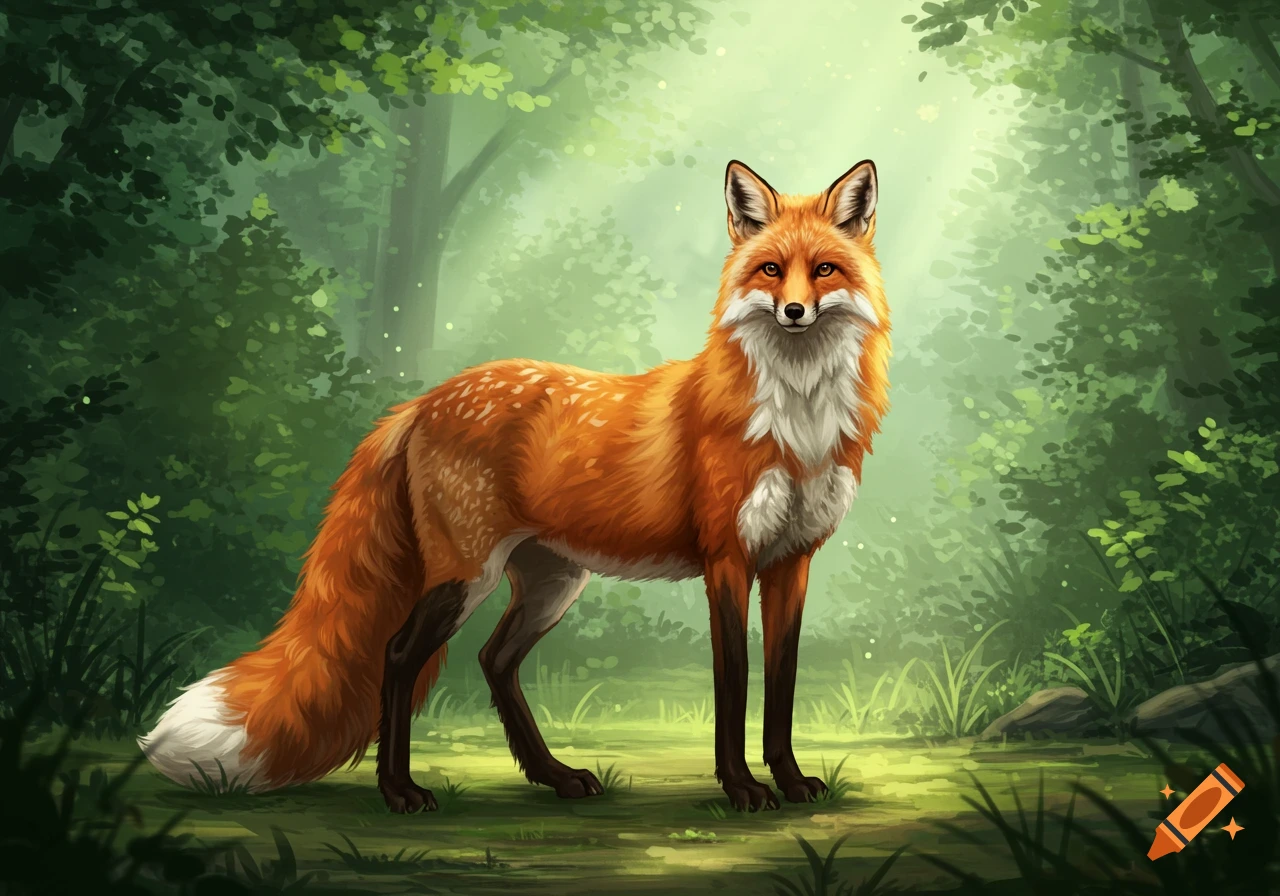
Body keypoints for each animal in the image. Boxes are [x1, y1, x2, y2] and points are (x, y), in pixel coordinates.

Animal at [139, 158, 890, 813]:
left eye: (824, 269)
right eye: (771, 269)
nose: (794, 311)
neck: (796, 423)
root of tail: (422, 401)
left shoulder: (791, 563)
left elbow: (781, 687)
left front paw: (790, 782)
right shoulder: (726, 561)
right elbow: (733, 688)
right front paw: (741, 790)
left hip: (551, 582)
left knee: (494, 661)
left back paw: (553, 777)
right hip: (465, 575)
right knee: (400, 654)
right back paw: (400, 792)